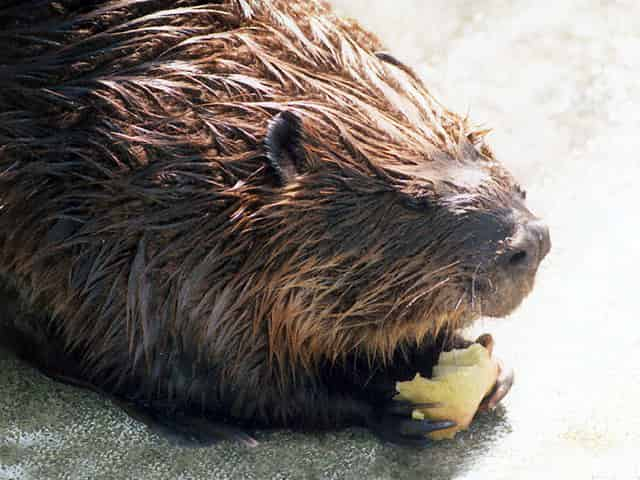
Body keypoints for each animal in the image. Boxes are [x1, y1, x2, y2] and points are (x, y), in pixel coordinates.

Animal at [0, 0, 552, 444]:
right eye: (413, 200)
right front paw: (386, 402)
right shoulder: (135, 261)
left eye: (474, 144)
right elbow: (222, 377)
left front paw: (477, 361)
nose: (533, 240)